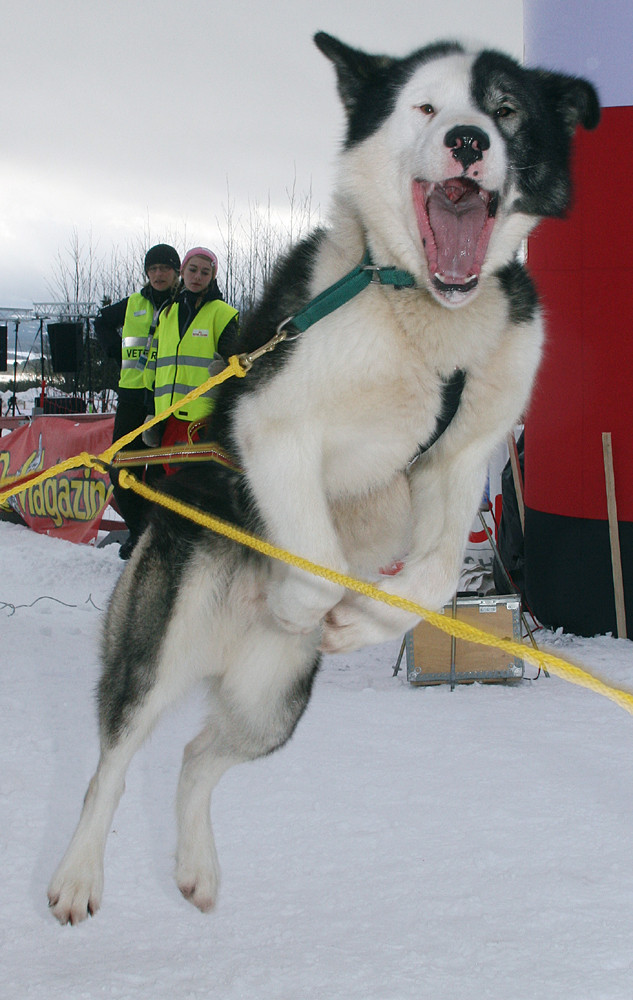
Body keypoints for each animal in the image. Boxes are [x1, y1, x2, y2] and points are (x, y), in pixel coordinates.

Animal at [48, 33, 596, 920]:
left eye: (505, 108)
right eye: (424, 105)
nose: (468, 140)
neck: (422, 318)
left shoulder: (461, 458)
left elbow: (433, 575)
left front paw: (360, 619)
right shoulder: (274, 421)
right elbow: (316, 547)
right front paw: (305, 599)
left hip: (270, 705)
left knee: (197, 756)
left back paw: (197, 865)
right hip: (157, 653)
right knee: (114, 763)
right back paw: (78, 873)